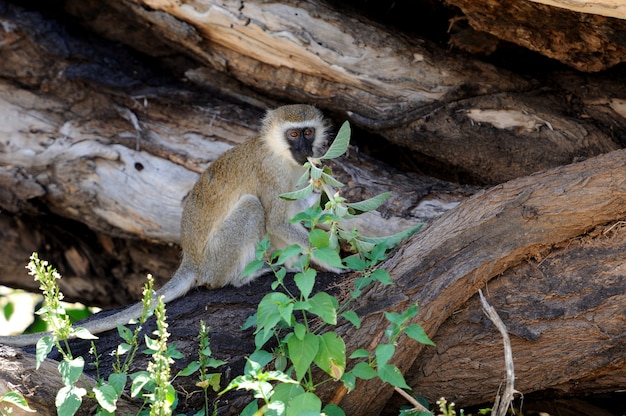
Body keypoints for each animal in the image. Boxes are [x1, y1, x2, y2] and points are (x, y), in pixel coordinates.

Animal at [1, 105, 342, 348]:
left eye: (308, 132)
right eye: (294, 135)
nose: (305, 150)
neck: (281, 155)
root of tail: (191, 261)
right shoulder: (272, 174)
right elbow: (277, 221)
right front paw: (336, 260)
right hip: (217, 259)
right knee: (250, 210)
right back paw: (245, 277)